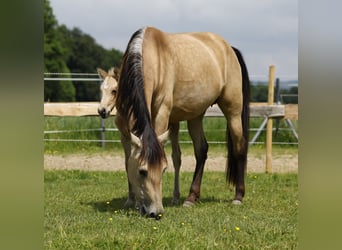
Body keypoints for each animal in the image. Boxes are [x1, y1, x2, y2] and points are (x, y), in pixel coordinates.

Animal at [97, 26, 250, 220]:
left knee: (239, 146)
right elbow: (127, 161)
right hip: (196, 115)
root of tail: (229, 48)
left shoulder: (163, 112)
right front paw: (133, 201)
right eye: (142, 171)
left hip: (233, 111)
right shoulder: (126, 123)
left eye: (163, 170)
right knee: (201, 150)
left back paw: (238, 196)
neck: (151, 55)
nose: (156, 212)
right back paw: (191, 198)